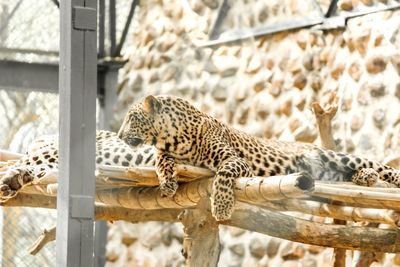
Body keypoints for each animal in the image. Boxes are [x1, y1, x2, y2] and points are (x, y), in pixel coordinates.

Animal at [117, 96, 400, 222]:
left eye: (131, 117)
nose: (119, 135)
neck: (174, 138)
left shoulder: (236, 160)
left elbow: (223, 174)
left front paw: (221, 207)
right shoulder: (165, 153)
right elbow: (161, 162)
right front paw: (167, 183)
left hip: (334, 155)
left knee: (375, 165)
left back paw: (373, 174)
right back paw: (366, 178)